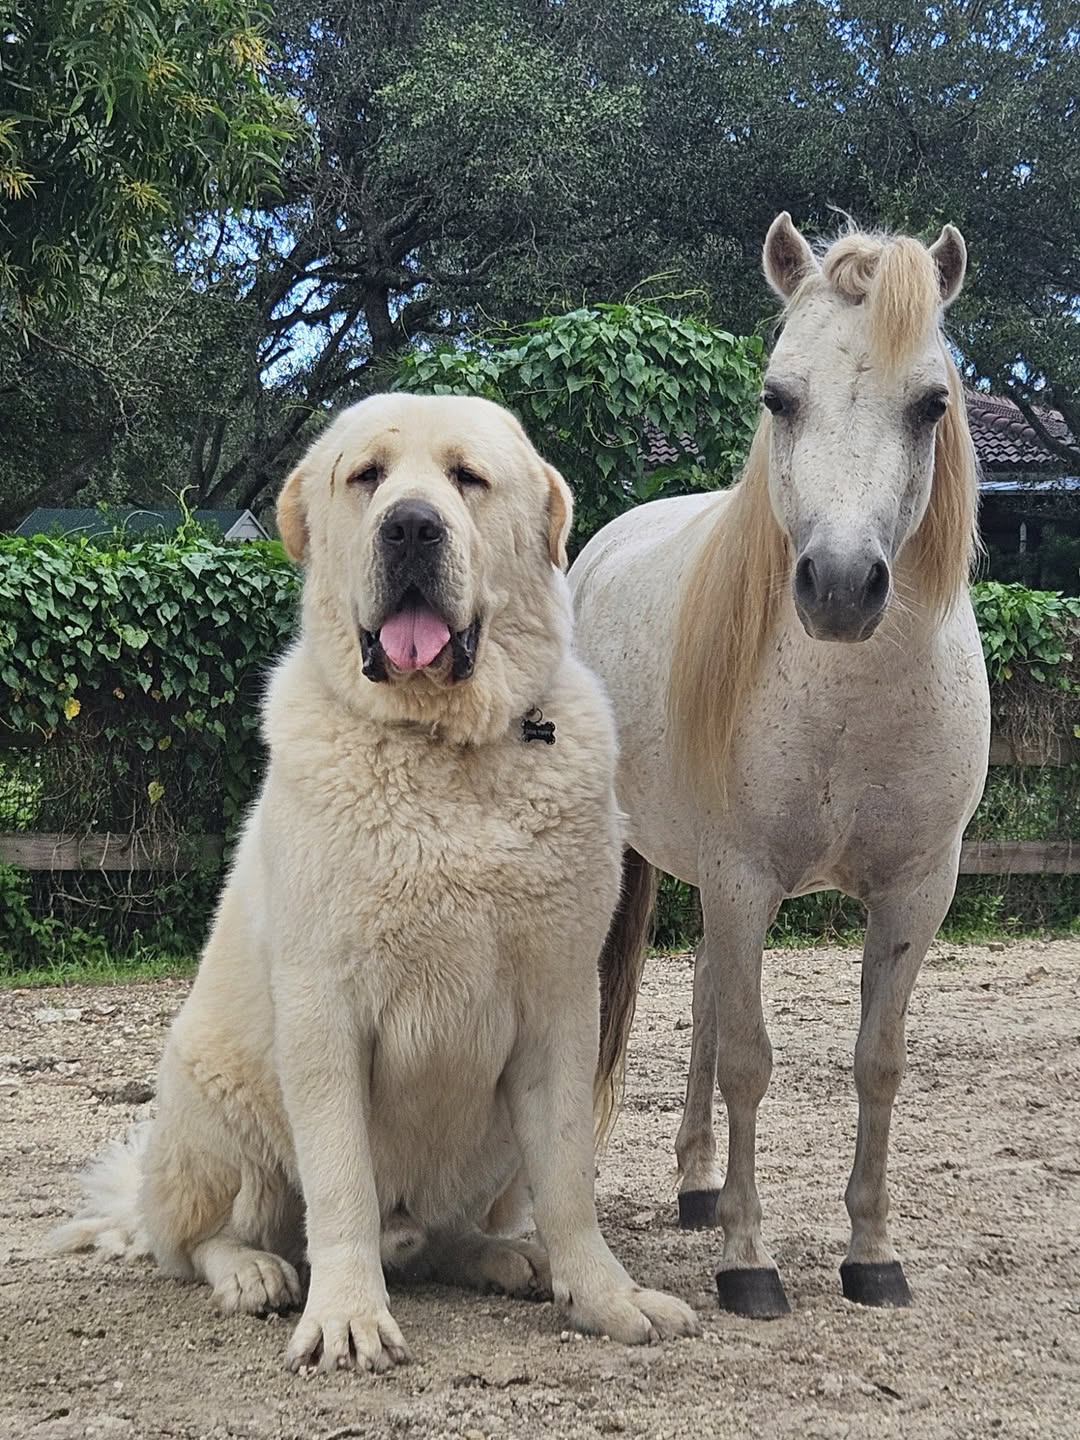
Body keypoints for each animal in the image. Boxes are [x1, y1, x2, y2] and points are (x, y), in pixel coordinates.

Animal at [569, 215, 990, 1319]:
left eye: (931, 403)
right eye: (778, 396)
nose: (839, 588)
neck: (848, 695)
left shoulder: (914, 893)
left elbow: (877, 1064)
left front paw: (871, 1255)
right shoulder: (742, 877)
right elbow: (753, 1063)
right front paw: (749, 1263)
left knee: (709, 998)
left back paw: (698, 1185)